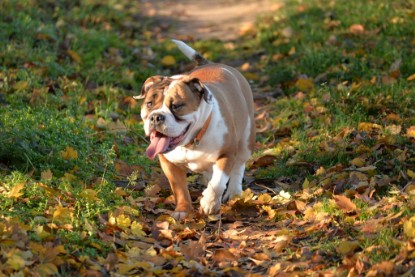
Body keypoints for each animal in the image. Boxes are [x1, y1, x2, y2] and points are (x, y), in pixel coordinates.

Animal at [135, 40, 255, 219]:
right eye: (149, 103)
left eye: (176, 106)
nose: (156, 117)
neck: (192, 141)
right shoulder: (169, 163)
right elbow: (180, 188)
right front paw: (182, 211)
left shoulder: (227, 154)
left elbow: (218, 182)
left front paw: (209, 203)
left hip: (246, 140)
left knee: (238, 166)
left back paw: (234, 192)